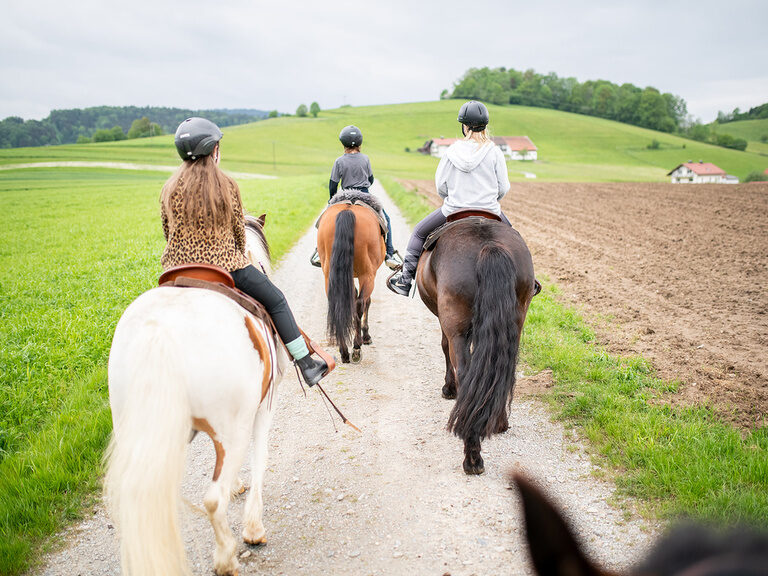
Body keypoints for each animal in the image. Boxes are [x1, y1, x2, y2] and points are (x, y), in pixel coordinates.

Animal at [104, 214, 289, 576]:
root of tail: (159, 330)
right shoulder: (262, 410)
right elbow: (259, 460)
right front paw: (253, 528)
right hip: (232, 430)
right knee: (213, 499)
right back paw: (226, 557)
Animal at [316, 192, 386, 363]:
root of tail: (348, 210)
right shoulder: (369, 274)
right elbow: (365, 302)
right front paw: (366, 336)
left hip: (329, 274)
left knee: (338, 303)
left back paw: (344, 351)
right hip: (367, 275)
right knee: (361, 304)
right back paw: (356, 347)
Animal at [416, 215, 537, 475]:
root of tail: (488, 245)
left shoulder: (448, 324)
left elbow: (444, 347)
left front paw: (448, 389)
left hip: (457, 328)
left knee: (465, 372)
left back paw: (472, 457)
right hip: (514, 323)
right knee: (503, 369)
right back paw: (499, 423)